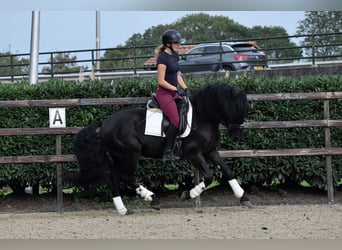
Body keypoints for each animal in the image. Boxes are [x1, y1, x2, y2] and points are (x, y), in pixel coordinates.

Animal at [64, 83, 250, 214]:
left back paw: (123, 209)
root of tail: (104, 124)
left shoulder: (210, 151)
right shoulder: (193, 155)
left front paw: (243, 196)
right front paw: (188, 194)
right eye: (235, 108)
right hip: (129, 154)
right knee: (127, 178)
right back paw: (152, 198)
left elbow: (227, 171)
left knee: (115, 178)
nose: (238, 136)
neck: (201, 117)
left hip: (119, 157)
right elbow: (210, 176)